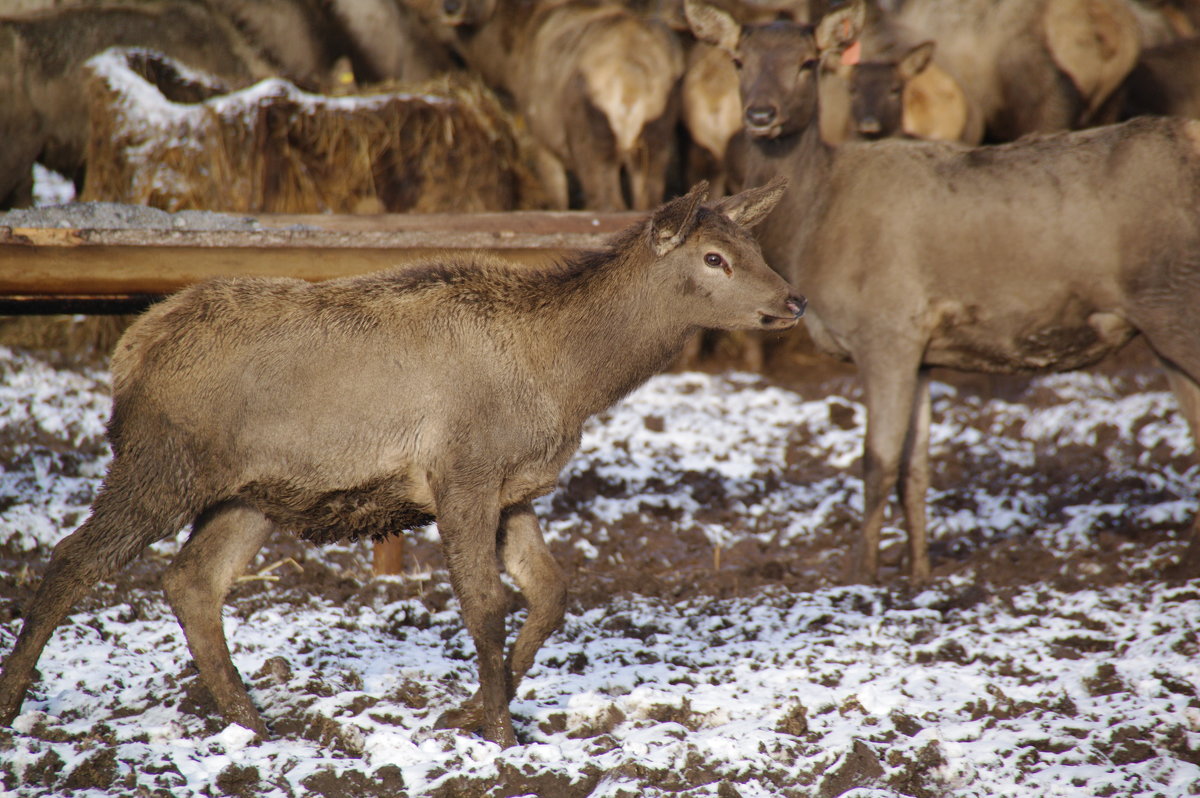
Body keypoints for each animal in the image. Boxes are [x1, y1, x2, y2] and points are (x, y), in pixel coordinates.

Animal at [0, 180, 806, 748]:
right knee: (73, 557)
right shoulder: (463, 469)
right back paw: (15, 703)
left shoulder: (515, 487)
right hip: (160, 461)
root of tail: (127, 353)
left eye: (755, 246)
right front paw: (499, 733)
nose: (794, 298)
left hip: (249, 493)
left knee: (192, 579)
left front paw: (471, 712)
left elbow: (550, 593)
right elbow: (486, 603)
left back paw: (253, 723)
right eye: (714, 258)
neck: (566, 379)